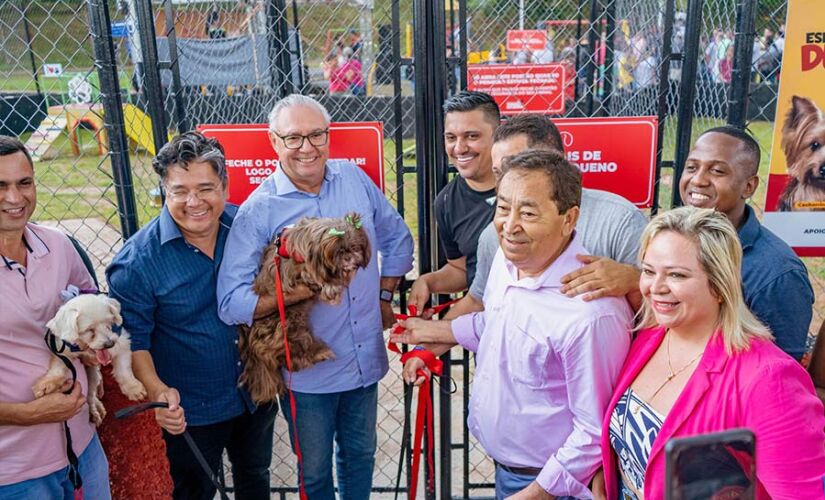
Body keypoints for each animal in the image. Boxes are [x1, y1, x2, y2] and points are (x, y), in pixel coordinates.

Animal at [33, 294, 147, 424]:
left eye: (108, 323)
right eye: (89, 330)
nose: (110, 344)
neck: (84, 349)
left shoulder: (122, 344)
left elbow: (124, 370)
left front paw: (133, 388)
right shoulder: (63, 350)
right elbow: (57, 367)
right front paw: (48, 382)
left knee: (91, 395)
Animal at [237, 213, 368, 404]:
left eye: (354, 246)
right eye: (339, 251)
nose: (349, 257)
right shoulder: (294, 270)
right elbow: (312, 275)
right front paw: (330, 286)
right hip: (287, 327)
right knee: (290, 355)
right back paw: (318, 353)